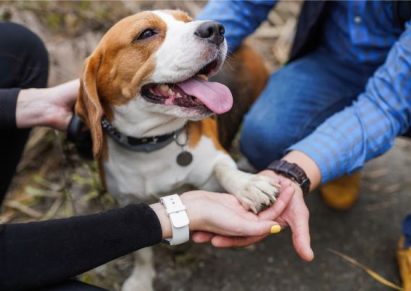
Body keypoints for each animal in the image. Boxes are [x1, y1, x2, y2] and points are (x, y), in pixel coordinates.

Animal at [76, 9, 276, 291]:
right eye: (146, 33)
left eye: (187, 19)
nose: (215, 29)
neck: (152, 144)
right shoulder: (129, 202)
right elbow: (142, 252)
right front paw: (141, 280)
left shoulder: (211, 170)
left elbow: (224, 169)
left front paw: (248, 185)